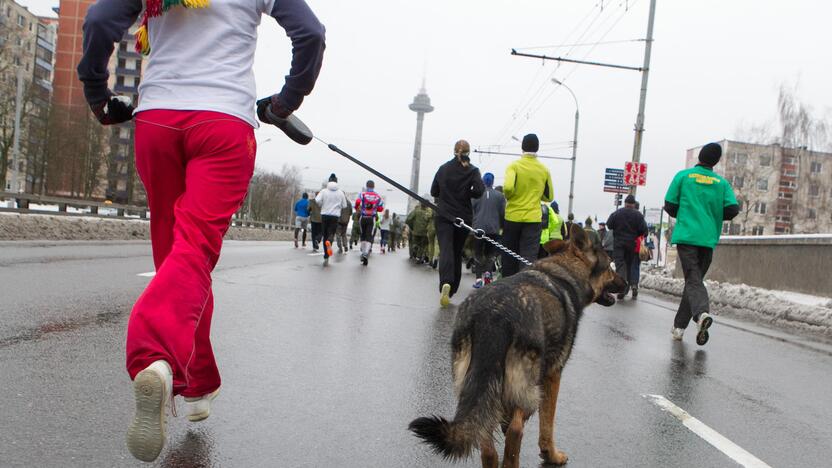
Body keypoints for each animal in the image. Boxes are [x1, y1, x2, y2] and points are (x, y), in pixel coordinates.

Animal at [410, 225, 624, 466]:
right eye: (611, 266)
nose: (625, 284)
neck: (565, 270)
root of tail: (494, 314)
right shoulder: (552, 376)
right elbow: (547, 423)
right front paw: (552, 454)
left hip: (476, 383)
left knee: (485, 437)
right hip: (528, 386)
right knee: (515, 429)